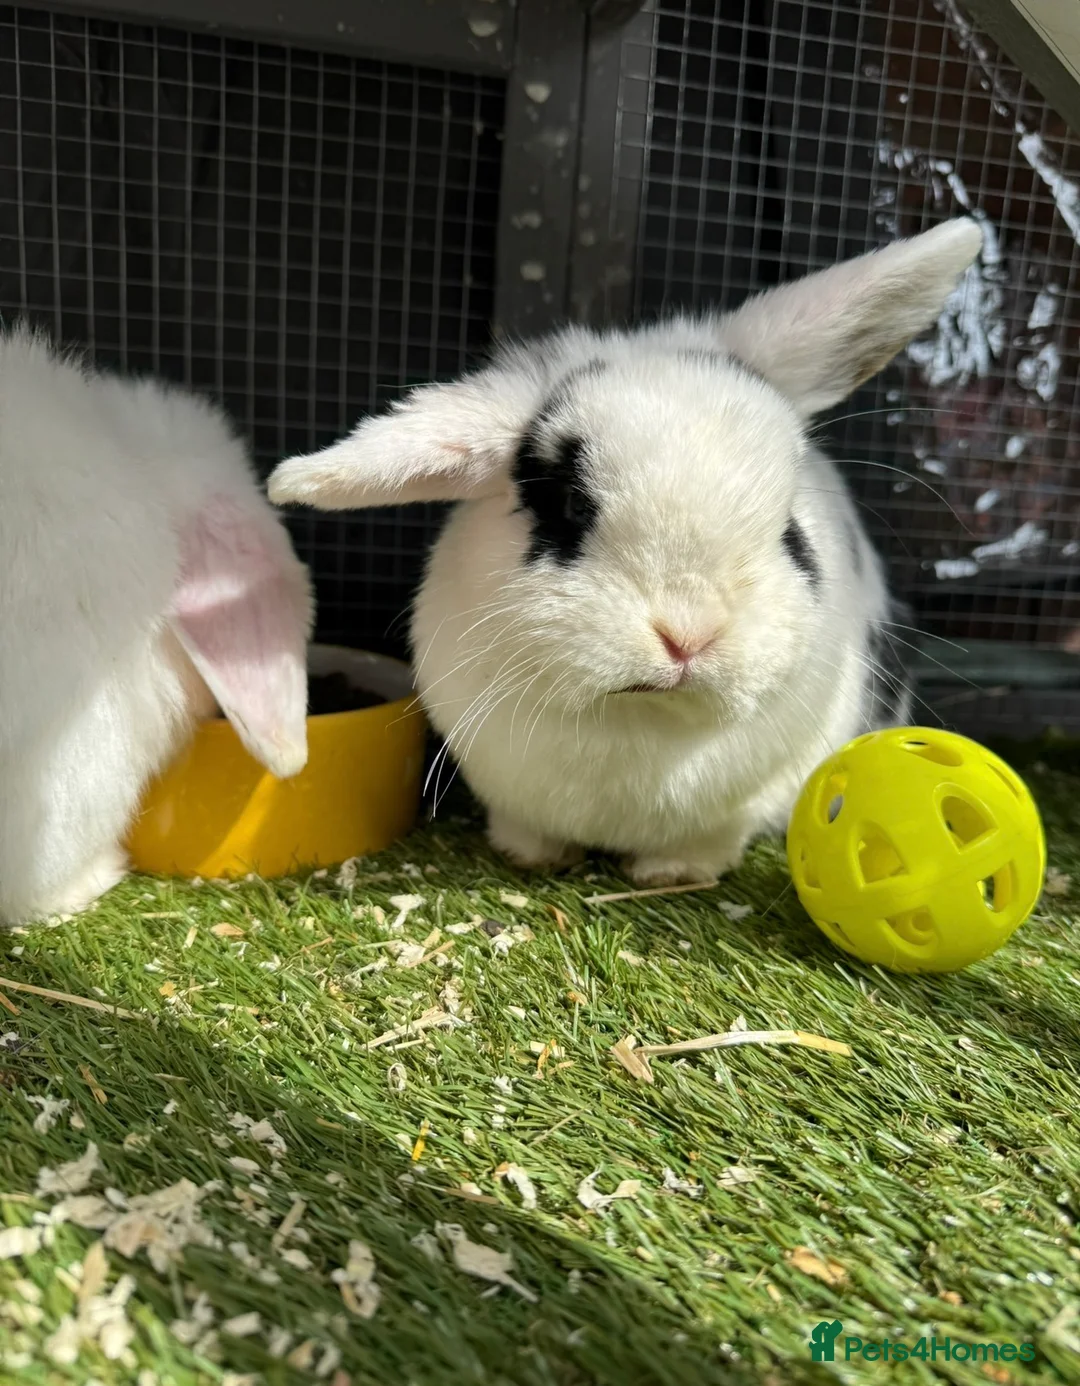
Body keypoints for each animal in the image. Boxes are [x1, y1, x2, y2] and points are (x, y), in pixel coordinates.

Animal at [268, 219, 982, 886]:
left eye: (789, 529)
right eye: (571, 504)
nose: (689, 637)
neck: (641, 718)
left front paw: (672, 874)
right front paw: (532, 857)